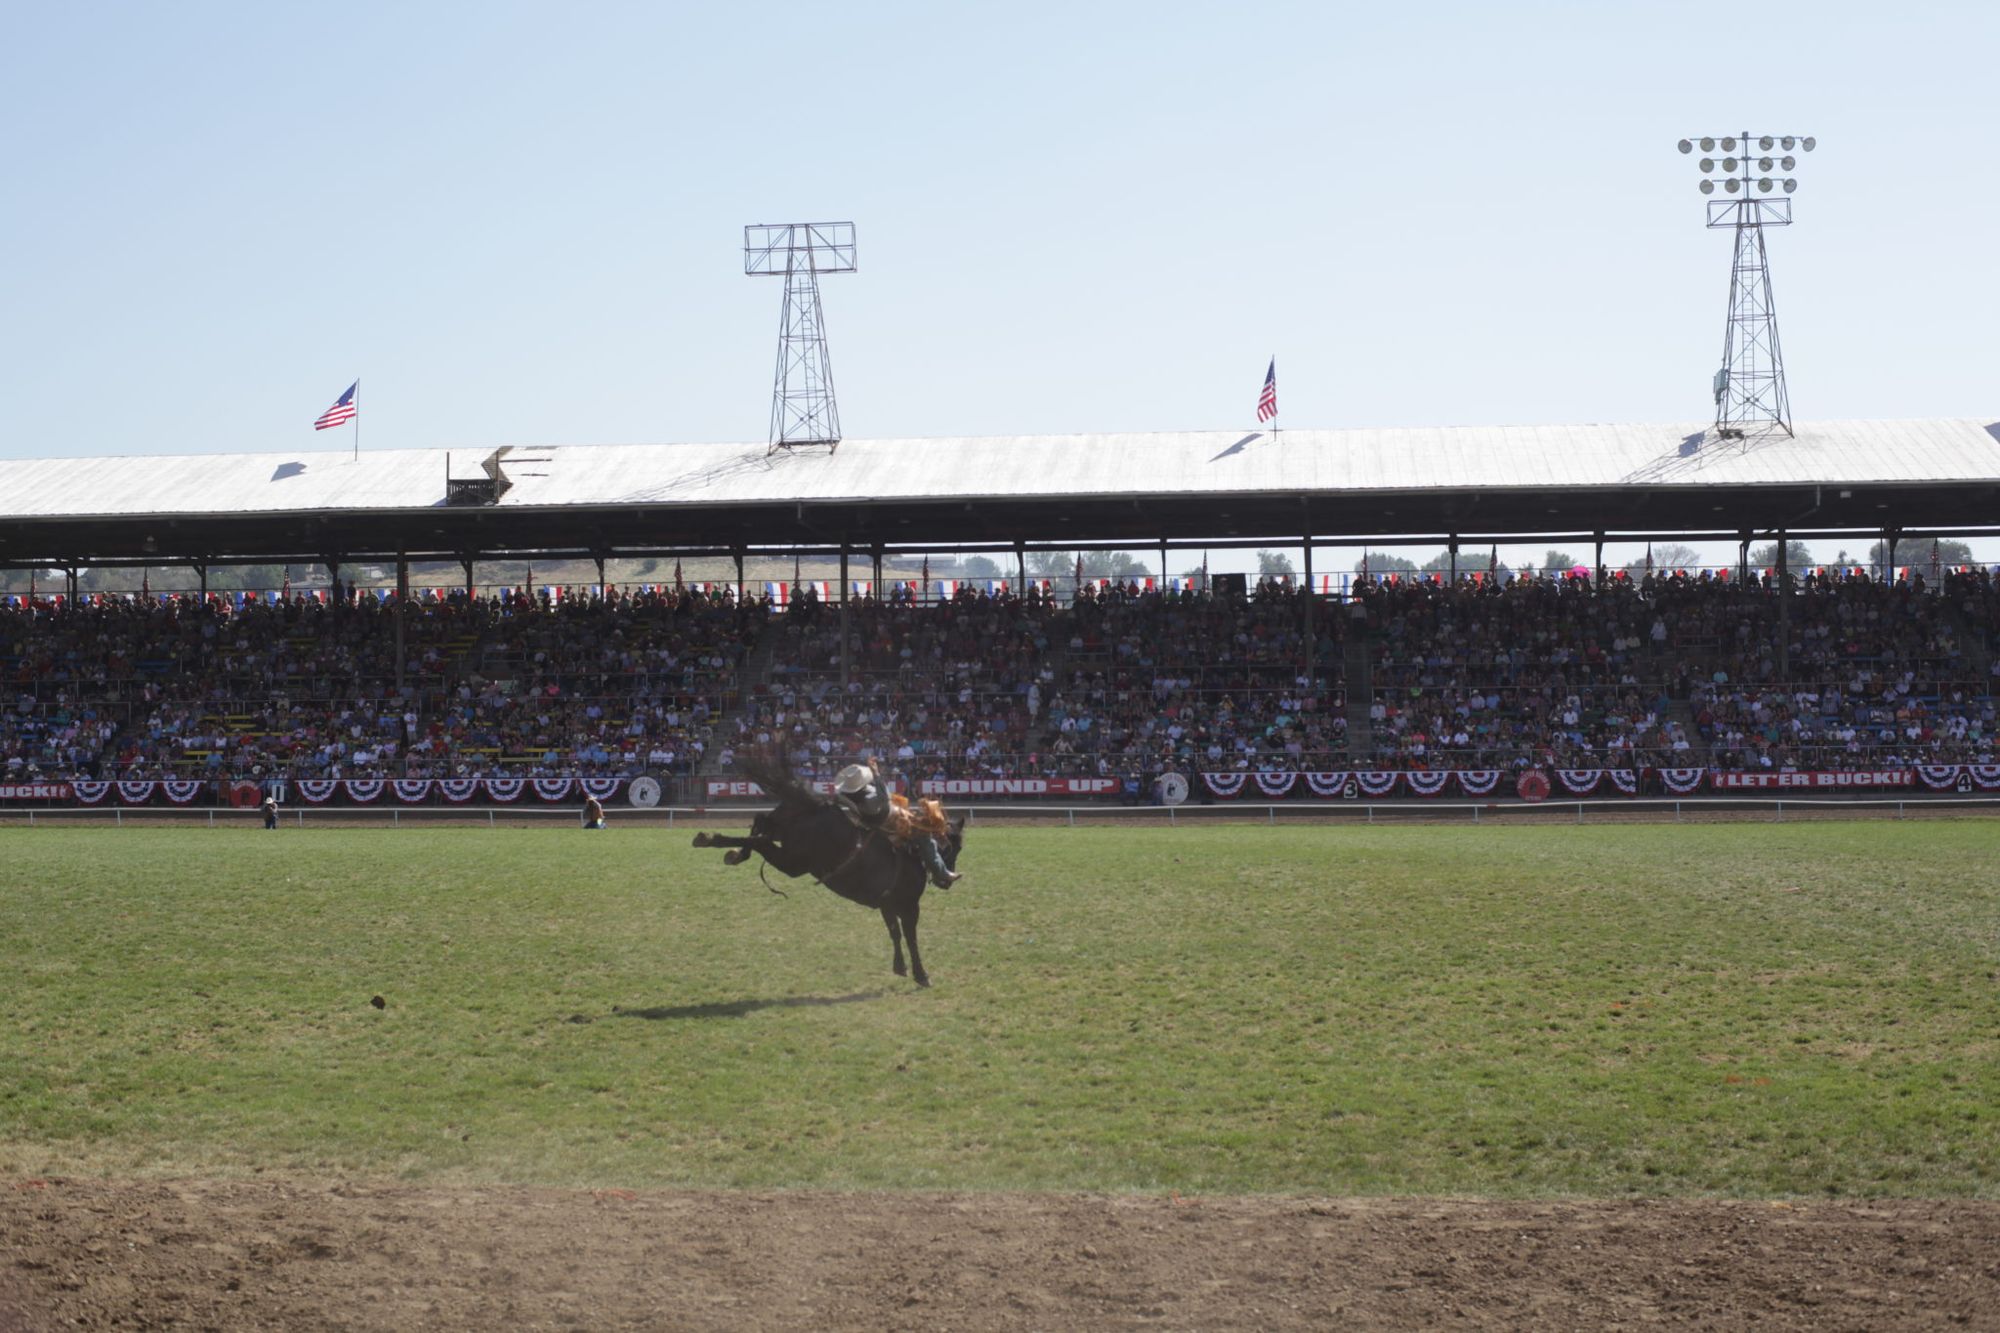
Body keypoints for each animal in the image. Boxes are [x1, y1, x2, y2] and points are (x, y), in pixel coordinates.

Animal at [692, 752, 964, 980]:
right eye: (955, 847)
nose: (946, 882)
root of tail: (817, 805)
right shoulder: (909, 905)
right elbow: (910, 936)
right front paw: (921, 974)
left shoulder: (887, 904)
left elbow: (894, 933)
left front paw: (900, 967)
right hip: (794, 863)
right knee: (759, 840)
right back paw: (713, 841)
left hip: (783, 836)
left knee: (760, 825)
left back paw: (729, 850)